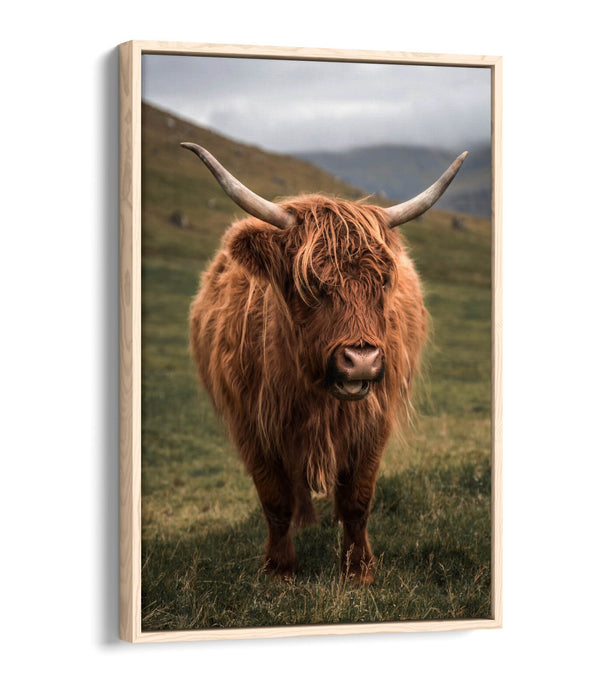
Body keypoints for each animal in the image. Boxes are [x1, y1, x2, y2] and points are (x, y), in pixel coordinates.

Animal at [182, 142, 467, 584]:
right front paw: (280, 568)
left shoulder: (374, 420)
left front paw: (359, 569)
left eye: (383, 281)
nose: (361, 360)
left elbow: (357, 499)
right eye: (310, 283)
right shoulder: (251, 424)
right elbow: (275, 499)